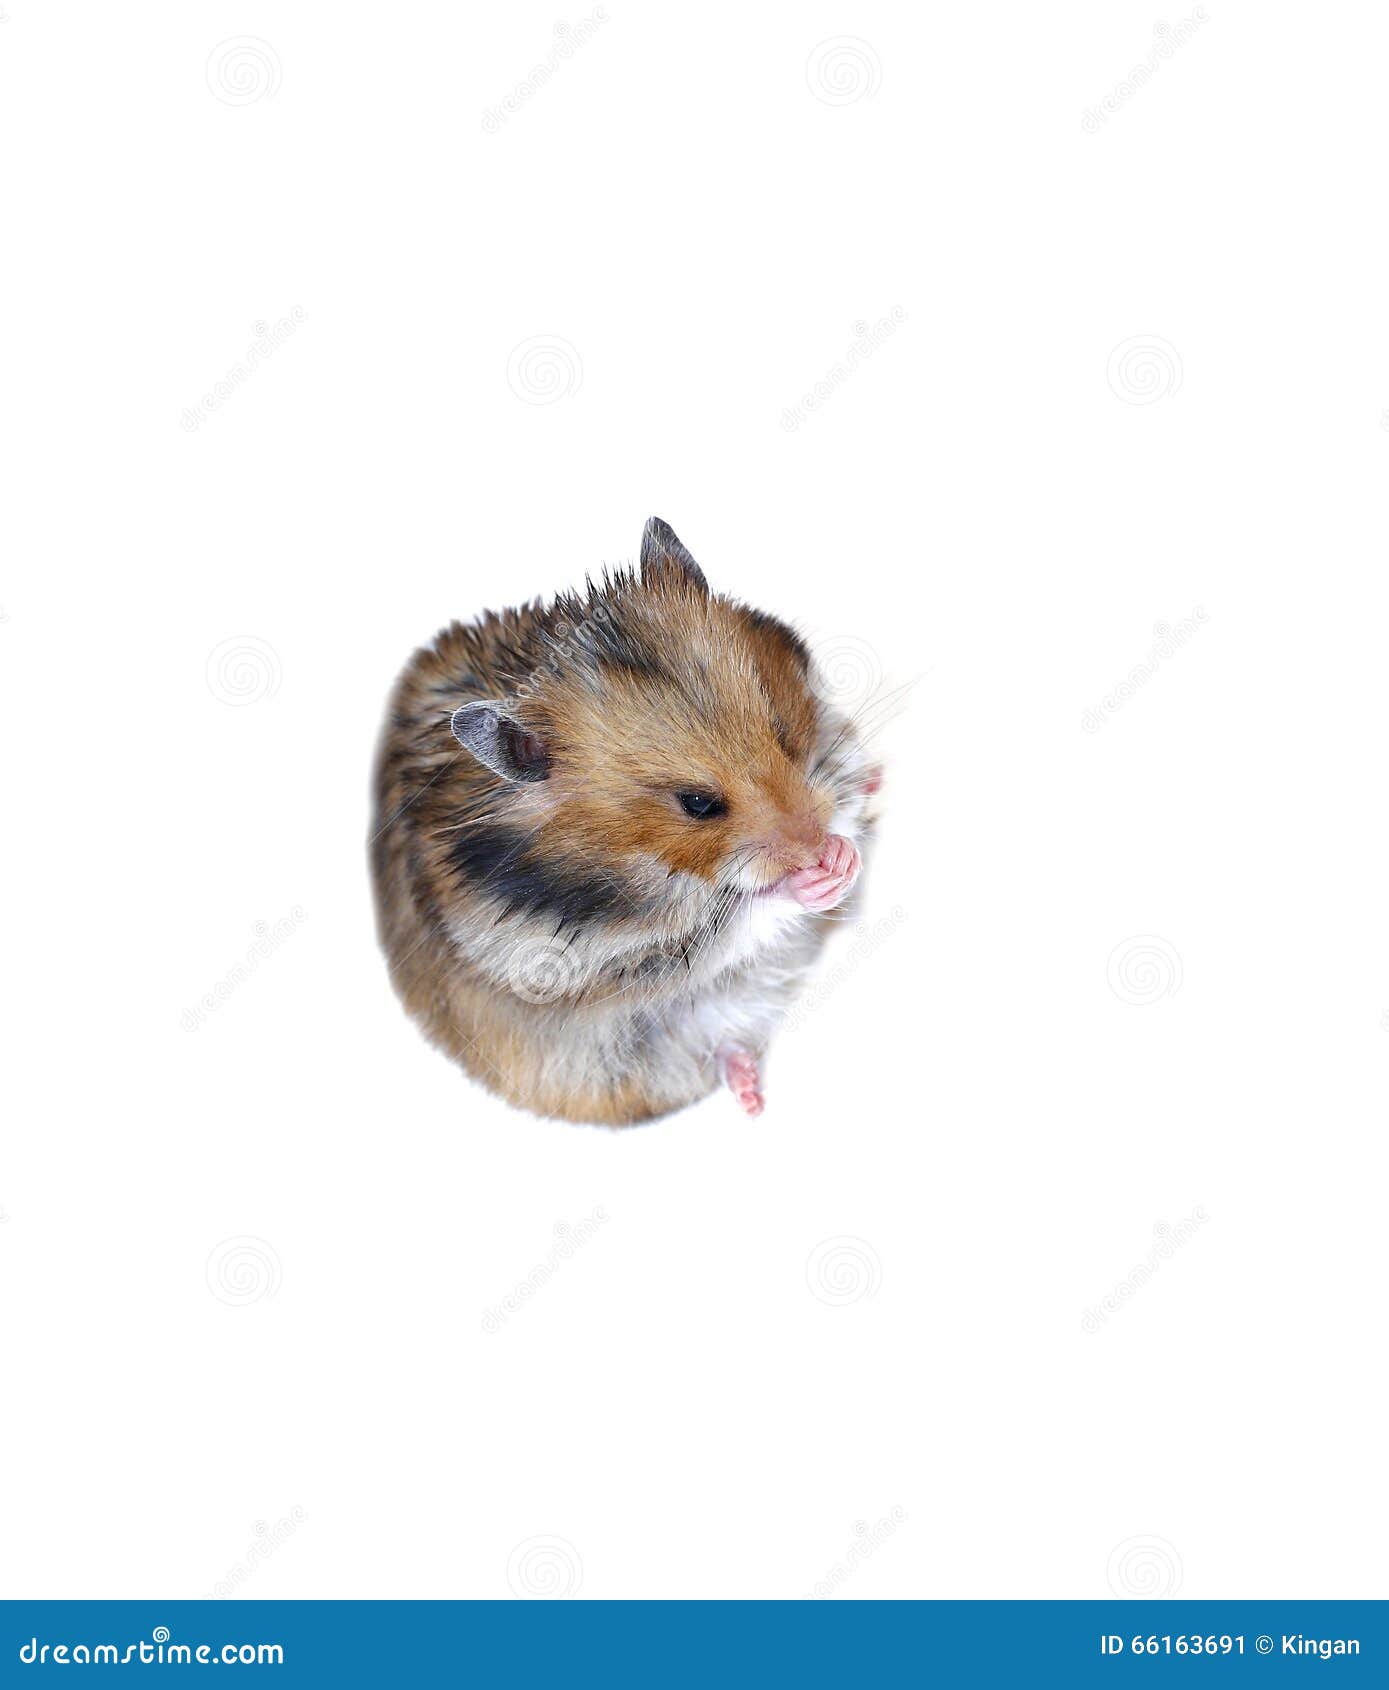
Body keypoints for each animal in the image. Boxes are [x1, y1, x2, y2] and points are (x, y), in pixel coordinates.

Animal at [370, 517, 879, 1126]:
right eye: (698, 804)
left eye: (782, 730)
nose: (815, 848)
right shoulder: (568, 960)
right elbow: (732, 921)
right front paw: (815, 878)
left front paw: (842, 852)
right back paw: (752, 1097)